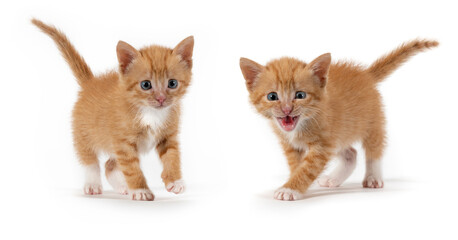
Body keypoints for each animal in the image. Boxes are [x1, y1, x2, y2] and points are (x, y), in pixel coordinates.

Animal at [31, 19, 193, 201]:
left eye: (172, 83)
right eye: (146, 85)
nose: (160, 99)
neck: (151, 113)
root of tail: (90, 83)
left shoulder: (168, 136)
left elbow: (172, 157)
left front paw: (175, 181)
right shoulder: (123, 143)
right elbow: (132, 169)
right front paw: (140, 190)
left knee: (110, 165)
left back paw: (123, 187)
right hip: (83, 133)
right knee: (90, 160)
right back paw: (93, 184)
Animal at [240, 39, 436, 201]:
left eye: (300, 95)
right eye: (272, 96)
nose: (286, 109)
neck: (302, 125)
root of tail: (366, 75)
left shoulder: (321, 146)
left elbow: (307, 169)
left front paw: (290, 189)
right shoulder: (292, 144)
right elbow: (297, 165)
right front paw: (296, 182)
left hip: (371, 122)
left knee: (374, 149)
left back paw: (373, 177)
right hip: (340, 133)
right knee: (351, 154)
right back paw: (334, 179)